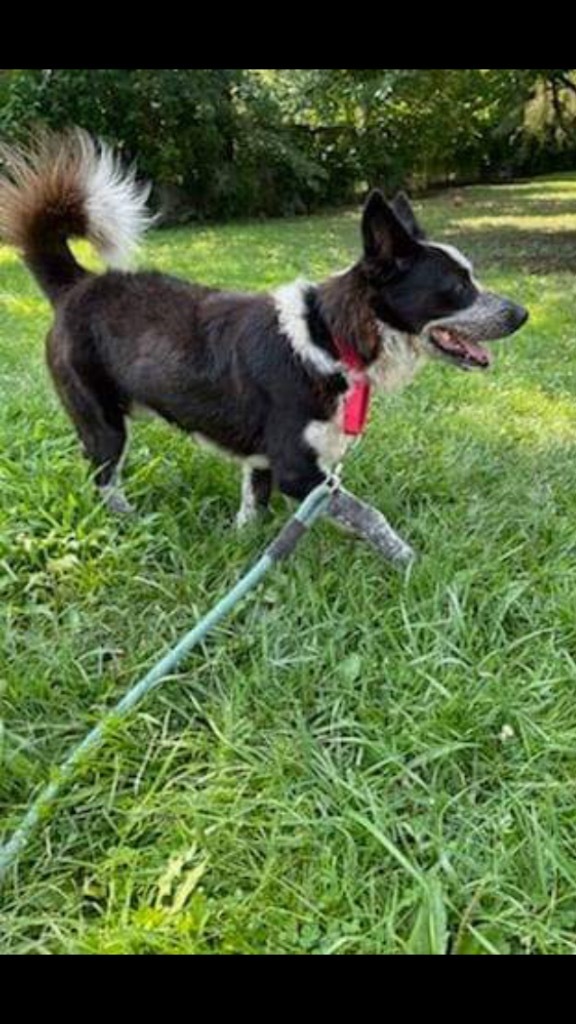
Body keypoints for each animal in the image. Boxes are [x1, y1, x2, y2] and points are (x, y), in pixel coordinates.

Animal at [0, 131, 528, 565]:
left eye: (472, 277)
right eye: (457, 287)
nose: (522, 314)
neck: (331, 338)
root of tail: (77, 285)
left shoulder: (265, 462)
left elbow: (253, 508)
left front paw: (245, 550)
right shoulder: (300, 471)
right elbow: (368, 514)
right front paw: (407, 560)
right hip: (103, 425)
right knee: (103, 481)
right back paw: (129, 523)